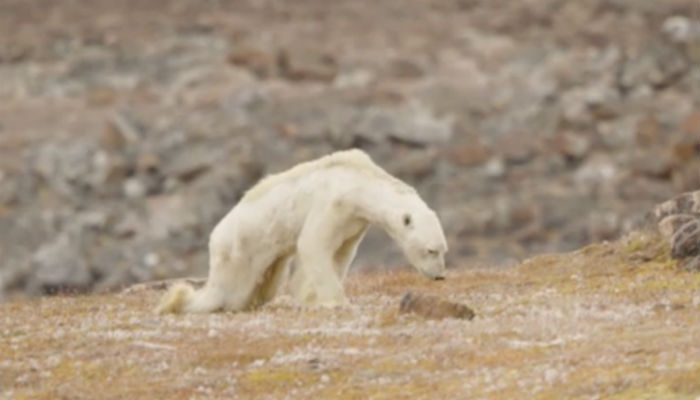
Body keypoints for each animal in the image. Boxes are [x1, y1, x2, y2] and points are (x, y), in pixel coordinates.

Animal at [155, 148, 448, 314]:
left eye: (443, 249)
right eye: (431, 250)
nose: (439, 276)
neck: (358, 181)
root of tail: (215, 239)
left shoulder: (354, 222)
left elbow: (340, 253)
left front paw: (310, 296)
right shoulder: (333, 203)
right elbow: (313, 244)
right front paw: (335, 302)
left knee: (266, 282)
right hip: (239, 250)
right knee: (227, 291)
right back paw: (179, 300)